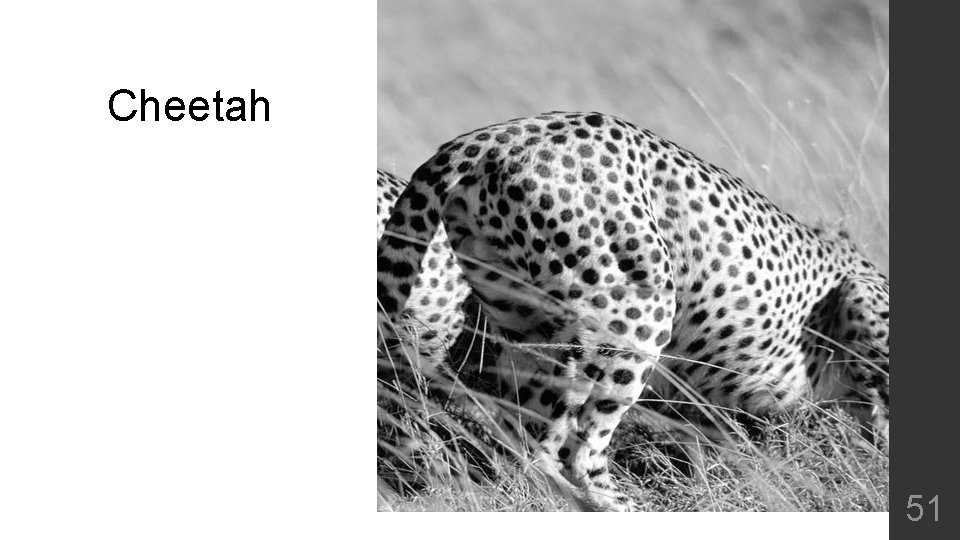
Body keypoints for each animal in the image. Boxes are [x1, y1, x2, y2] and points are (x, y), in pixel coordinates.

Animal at [376, 112, 889, 511]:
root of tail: (489, 136)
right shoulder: (861, 298)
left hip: (528, 325)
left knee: (526, 437)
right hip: (635, 314)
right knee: (572, 450)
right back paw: (623, 505)